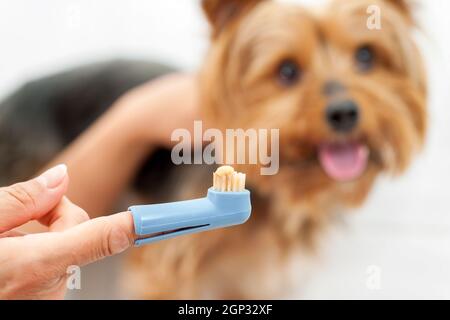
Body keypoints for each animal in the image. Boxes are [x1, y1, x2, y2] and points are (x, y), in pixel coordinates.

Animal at [0, 0, 426, 298]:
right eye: (287, 71)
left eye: (366, 57)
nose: (344, 112)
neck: (275, 197)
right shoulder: (165, 271)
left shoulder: (251, 280)